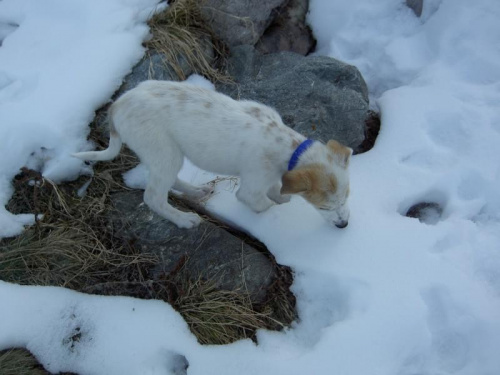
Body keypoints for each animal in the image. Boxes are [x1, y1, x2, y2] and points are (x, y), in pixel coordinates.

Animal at [73, 80, 352, 229]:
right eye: (324, 206)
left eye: (346, 199)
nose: (344, 226)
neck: (287, 144)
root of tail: (117, 106)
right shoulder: (251, 187)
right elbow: (262, 203)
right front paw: (274, 208)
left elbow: (277, 188)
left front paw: (281, 196)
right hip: (164, 151)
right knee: (153, 197)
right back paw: (184, 219)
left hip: (162, 154)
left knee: (169, 180)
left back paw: (197, 192)